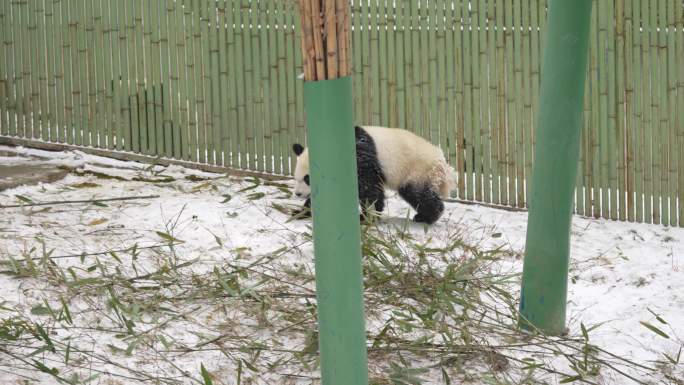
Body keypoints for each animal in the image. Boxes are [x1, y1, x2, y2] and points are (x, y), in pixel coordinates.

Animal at [290, 124, 454, 224]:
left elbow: (369, 189)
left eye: (307, 179)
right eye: (296, 178)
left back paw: (427, 216)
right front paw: (301, 212)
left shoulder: (360, 158)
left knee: (418, 193)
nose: (298, 194)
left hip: (417, 170)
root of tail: (441, 161)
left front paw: (366, 217)